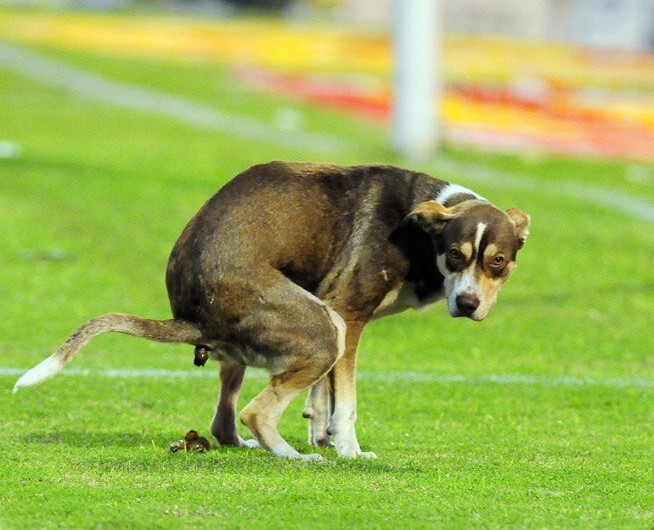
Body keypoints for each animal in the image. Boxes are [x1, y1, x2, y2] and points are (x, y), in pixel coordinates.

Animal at [12, 161, 532, 458]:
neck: (422, 232)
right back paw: (291, 456)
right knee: (254, 413)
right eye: (456, 256)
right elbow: (346, 404)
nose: (468, 304)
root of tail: (193, 316)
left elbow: (324, 397)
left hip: (267, 346)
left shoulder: (342, 325)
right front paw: (348, 451)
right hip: (322, 327)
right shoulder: (347, 315)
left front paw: (321, 430)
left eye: (498, 263)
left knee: (224, 422)